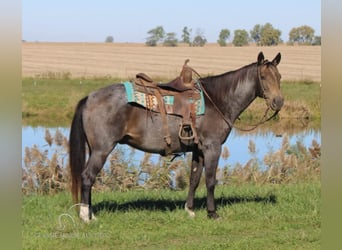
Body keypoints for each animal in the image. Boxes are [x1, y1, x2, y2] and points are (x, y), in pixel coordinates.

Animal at [69, 50, 284, 221]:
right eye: (263, 77)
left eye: (279, 76)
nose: (278, 101)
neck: (217, 100)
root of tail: (90, 98)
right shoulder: (212, 147)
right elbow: (210, 180)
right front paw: (212, 213)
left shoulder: (198, 149)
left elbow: (194, 179)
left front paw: (190, 210)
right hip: (101, 150)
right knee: (87, 177)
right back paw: (86, 216)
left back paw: (91, 213)